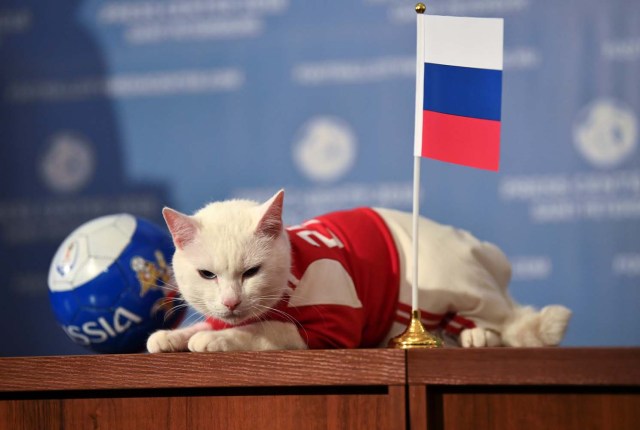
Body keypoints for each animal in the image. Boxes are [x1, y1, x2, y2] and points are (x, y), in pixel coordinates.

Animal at [146, 189, 568, 352]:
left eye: (251, 272)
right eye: (208, 276)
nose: (232, 301)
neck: (294, 269)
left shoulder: (332, 329)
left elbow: (264, 331)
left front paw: (215, 339)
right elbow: (210, 324)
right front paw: (172, 336)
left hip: (448, 289)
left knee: (506, 321)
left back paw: (477, 336)